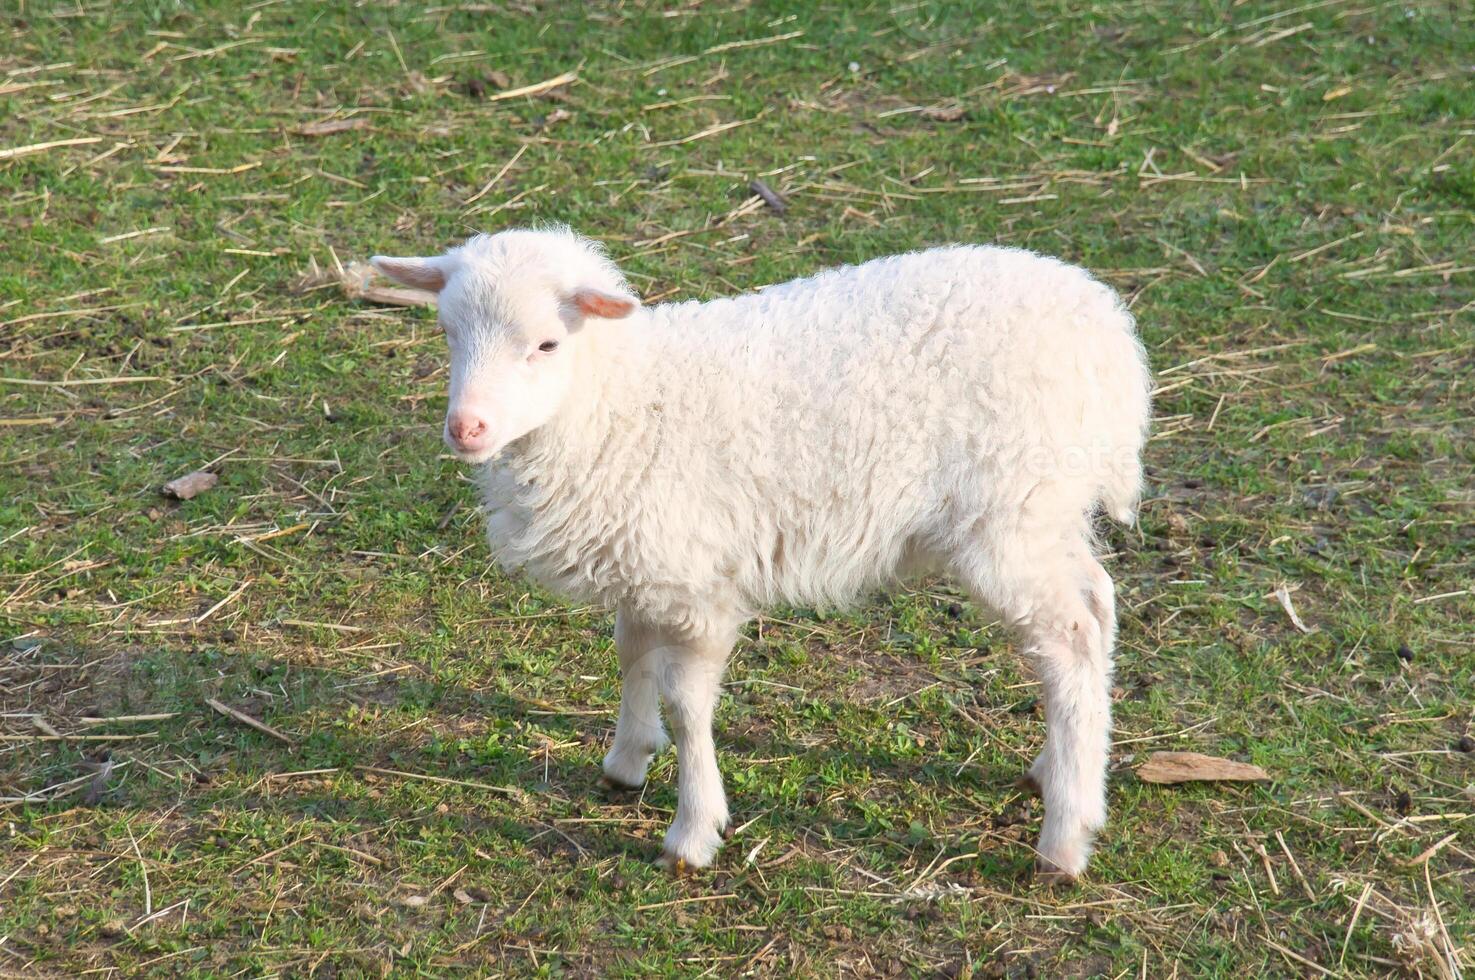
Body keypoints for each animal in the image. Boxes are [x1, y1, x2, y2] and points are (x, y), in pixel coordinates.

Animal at [368, 225, 1150, 885]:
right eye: (448, 332)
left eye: (547, 345)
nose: (466, 428)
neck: (623, 405)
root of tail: (1107, 330)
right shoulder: (647, 561)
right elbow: (630, 652)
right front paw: (626, 760)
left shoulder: (694, 585)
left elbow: (688, 704)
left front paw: (691, 831)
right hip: (1045, 512)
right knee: (1097, 604)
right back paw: (1056, 770)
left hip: (1010, 514)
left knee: (1069, 638)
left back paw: (1065, 836)